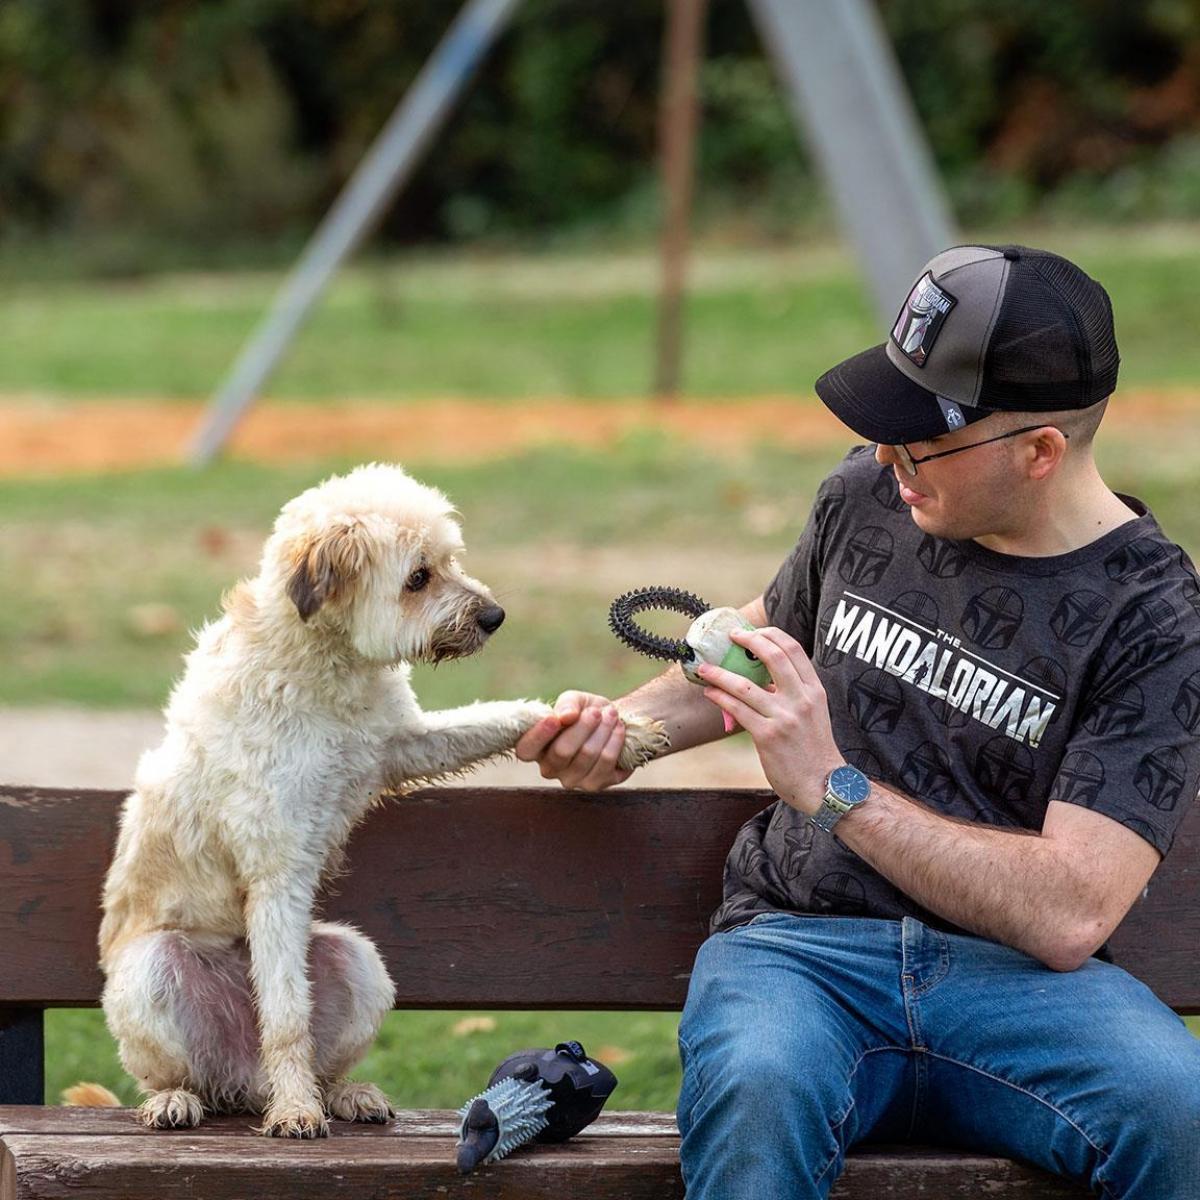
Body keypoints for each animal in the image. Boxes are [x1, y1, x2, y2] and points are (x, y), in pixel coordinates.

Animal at [96, 463, 667, 1137]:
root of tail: (244, 1081)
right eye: (417, 577)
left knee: (324, 1059)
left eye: (449, 560)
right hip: (153, 970)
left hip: (358, 959)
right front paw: (295, 1111)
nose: (495, 615)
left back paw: (346, 1094)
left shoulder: (405, 744)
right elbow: (286, 1016)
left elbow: (509, 715)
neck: (324, 664)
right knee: (185, 1071)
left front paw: (621, 731)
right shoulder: (278, 870)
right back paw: (187, 1099)